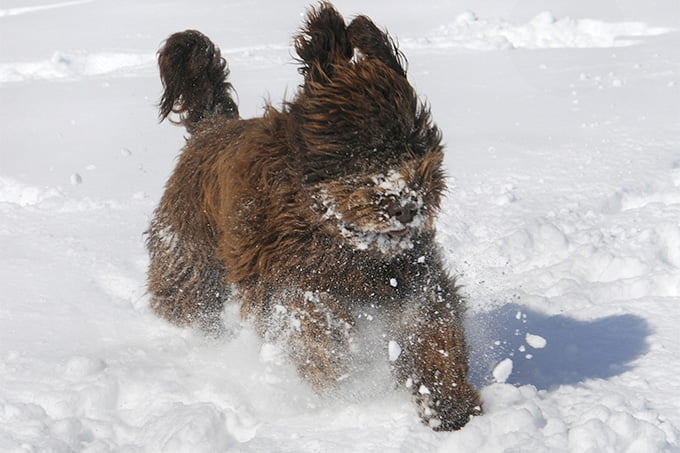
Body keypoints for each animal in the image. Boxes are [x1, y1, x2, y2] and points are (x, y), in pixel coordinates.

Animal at [147, 1, 480, 430]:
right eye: (363, 150)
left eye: (413, 145)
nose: (405, 206)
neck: (332, 229)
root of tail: (211, 126)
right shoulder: (279, 272)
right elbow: (309, 316)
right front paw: (337, 371)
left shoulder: (410, 274)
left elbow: (430, 324)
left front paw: (446, 401)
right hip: (189, 248)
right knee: (186, 293)